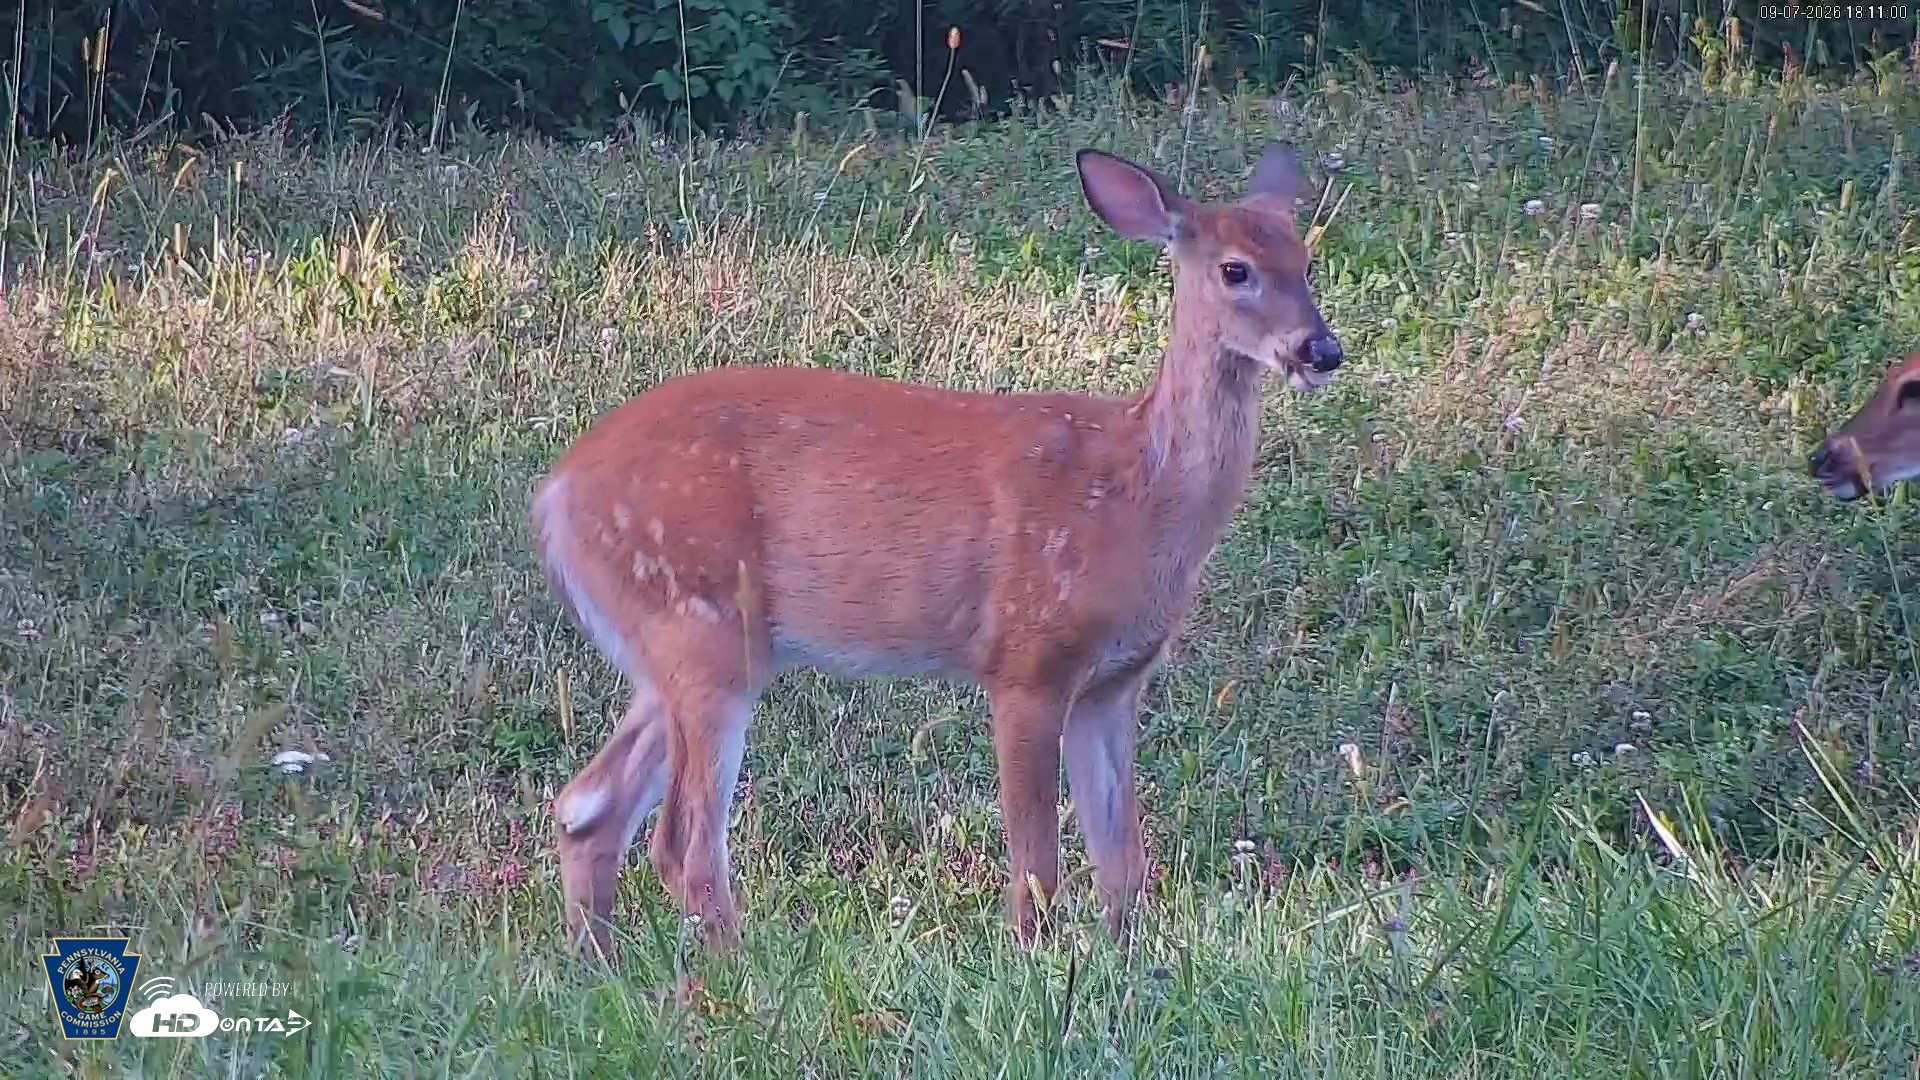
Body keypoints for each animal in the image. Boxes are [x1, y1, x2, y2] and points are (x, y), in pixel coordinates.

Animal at [531, 142, 1345, 961]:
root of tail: (555, 495)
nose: (1322, 349)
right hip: (698, 621)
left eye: (1307, 259)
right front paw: (1036, 962)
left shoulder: (1114, 684)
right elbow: (1038, 860)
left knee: (587, 805)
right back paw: (736, 972)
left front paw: (1125, 960)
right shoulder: (1027, 658)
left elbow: (1123, 861)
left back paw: (599, 964)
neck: (1138, 498)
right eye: (1236, 269)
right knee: (681, 842)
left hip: (672, 648)